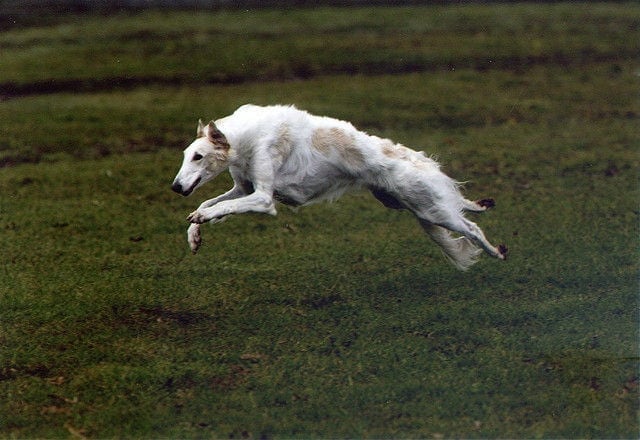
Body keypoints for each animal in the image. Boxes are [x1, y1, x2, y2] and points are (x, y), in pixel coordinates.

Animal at [170, 104, 504, 268]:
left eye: (199, 156)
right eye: (186, 155)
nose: (175, 186)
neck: (244, 136)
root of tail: (418, 158)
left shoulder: (263, 197)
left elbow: (221, 206)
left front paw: (201, 220)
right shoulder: (243, 188)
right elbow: (209, 203)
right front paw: (194, 235)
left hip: (430, 208)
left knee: (471, 228)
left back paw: (497, 252)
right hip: (410, 204)